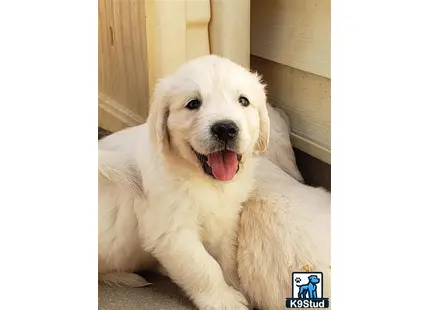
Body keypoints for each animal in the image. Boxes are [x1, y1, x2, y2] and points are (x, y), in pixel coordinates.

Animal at [99, 54, 270, 308]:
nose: (225, 128)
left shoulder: (226, 220)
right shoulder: (172, 232)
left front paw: (235, 285)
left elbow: (227, 258)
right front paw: (223, 299)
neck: (204, 180)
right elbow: (203, 267)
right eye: (193, 104)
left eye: (244, 101)